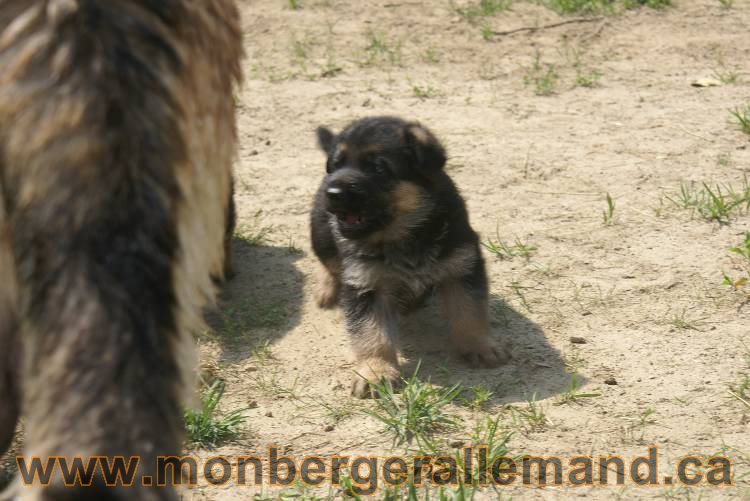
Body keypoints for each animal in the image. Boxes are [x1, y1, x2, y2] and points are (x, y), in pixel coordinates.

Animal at [310, 115, 512, 396]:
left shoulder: (462, 266)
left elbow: (471, 312)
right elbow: (371, 333)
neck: (405, 235)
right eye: (335, 165)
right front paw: (376, 371)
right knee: (328, 262)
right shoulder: (365, 284)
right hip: (321, 236)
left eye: (377, 168)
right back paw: (326, 288)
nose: (333, 193)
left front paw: (480, 345)